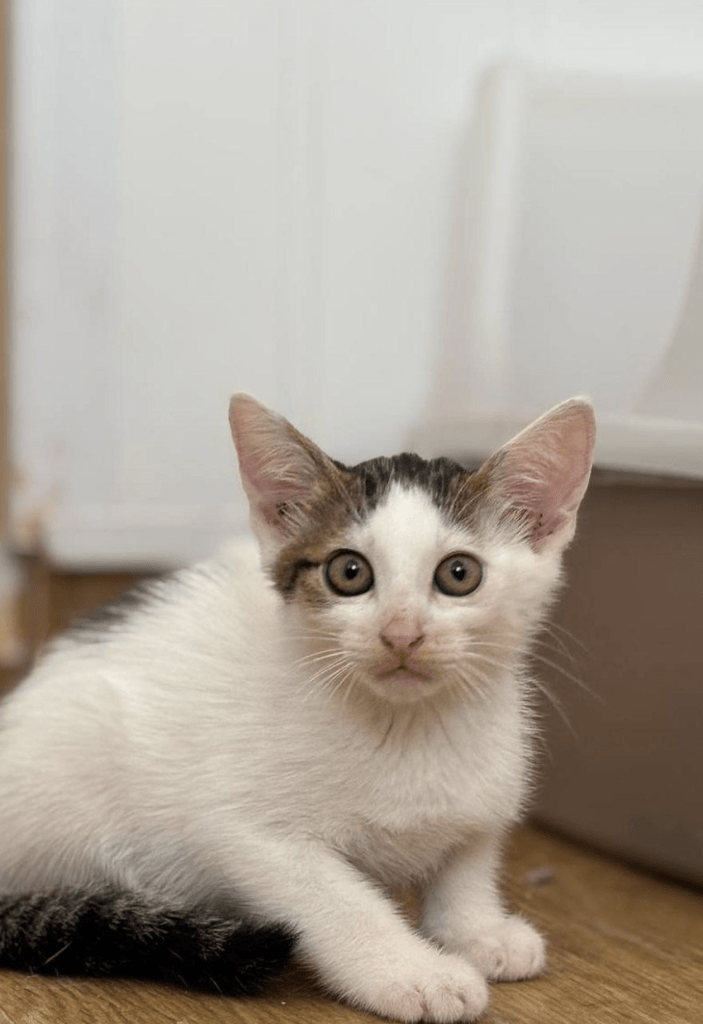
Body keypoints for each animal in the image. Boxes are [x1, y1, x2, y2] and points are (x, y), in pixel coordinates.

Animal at [0, 395, 593, 1019]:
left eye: (459, 573)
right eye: (349, 572)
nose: (401, 634)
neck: (405, 724)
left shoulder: (486, 795)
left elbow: (468, 863)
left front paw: (477, 931)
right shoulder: (244, 831)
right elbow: (337, 899)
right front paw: (413, 972)